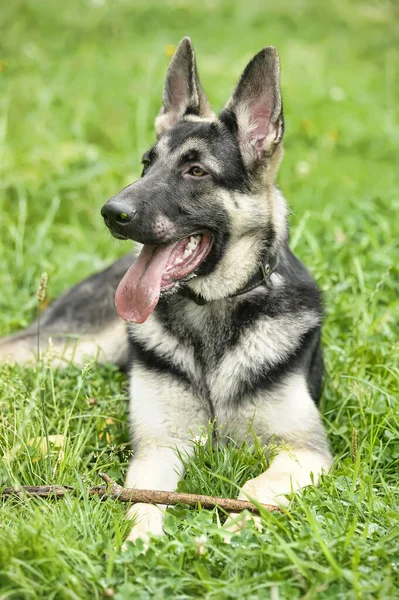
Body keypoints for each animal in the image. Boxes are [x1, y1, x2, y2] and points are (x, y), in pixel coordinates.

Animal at [0, 38, 332, 544]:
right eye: (147, 164)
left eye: (196, 171)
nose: (111, 213)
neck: (213, 311)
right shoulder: (160, 445)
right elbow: (144, 500)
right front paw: (141, 542)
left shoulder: (304, 451)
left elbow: (256, 490)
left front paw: (228, 533)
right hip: (67, 347)